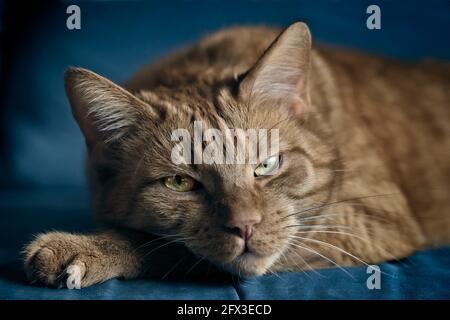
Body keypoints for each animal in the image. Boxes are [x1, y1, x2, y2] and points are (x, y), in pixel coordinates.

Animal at [22, 21, 448, 288]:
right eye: (180, 182)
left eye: (266, 165)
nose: (245, 226)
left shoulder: (370, 221)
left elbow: (169, 248)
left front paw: (92, 248)